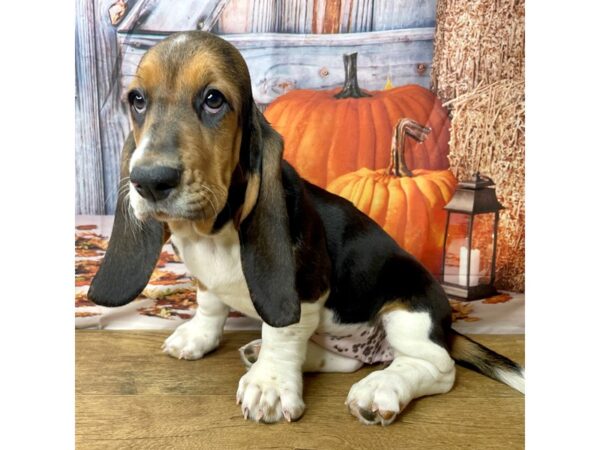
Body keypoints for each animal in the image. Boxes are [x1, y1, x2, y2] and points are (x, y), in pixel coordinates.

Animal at [86, 31, 524, 426]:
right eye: (137, 100)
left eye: (213, 100)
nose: (149, 181)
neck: (212, 233)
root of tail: (446, 326)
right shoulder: (208, 282)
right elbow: (210, 303)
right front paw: (198, 336)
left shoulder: (307, 291)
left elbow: (282, 333)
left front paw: (269, 385)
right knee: (349, 362)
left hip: (409, 307)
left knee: (436, 366)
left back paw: (381, 389)